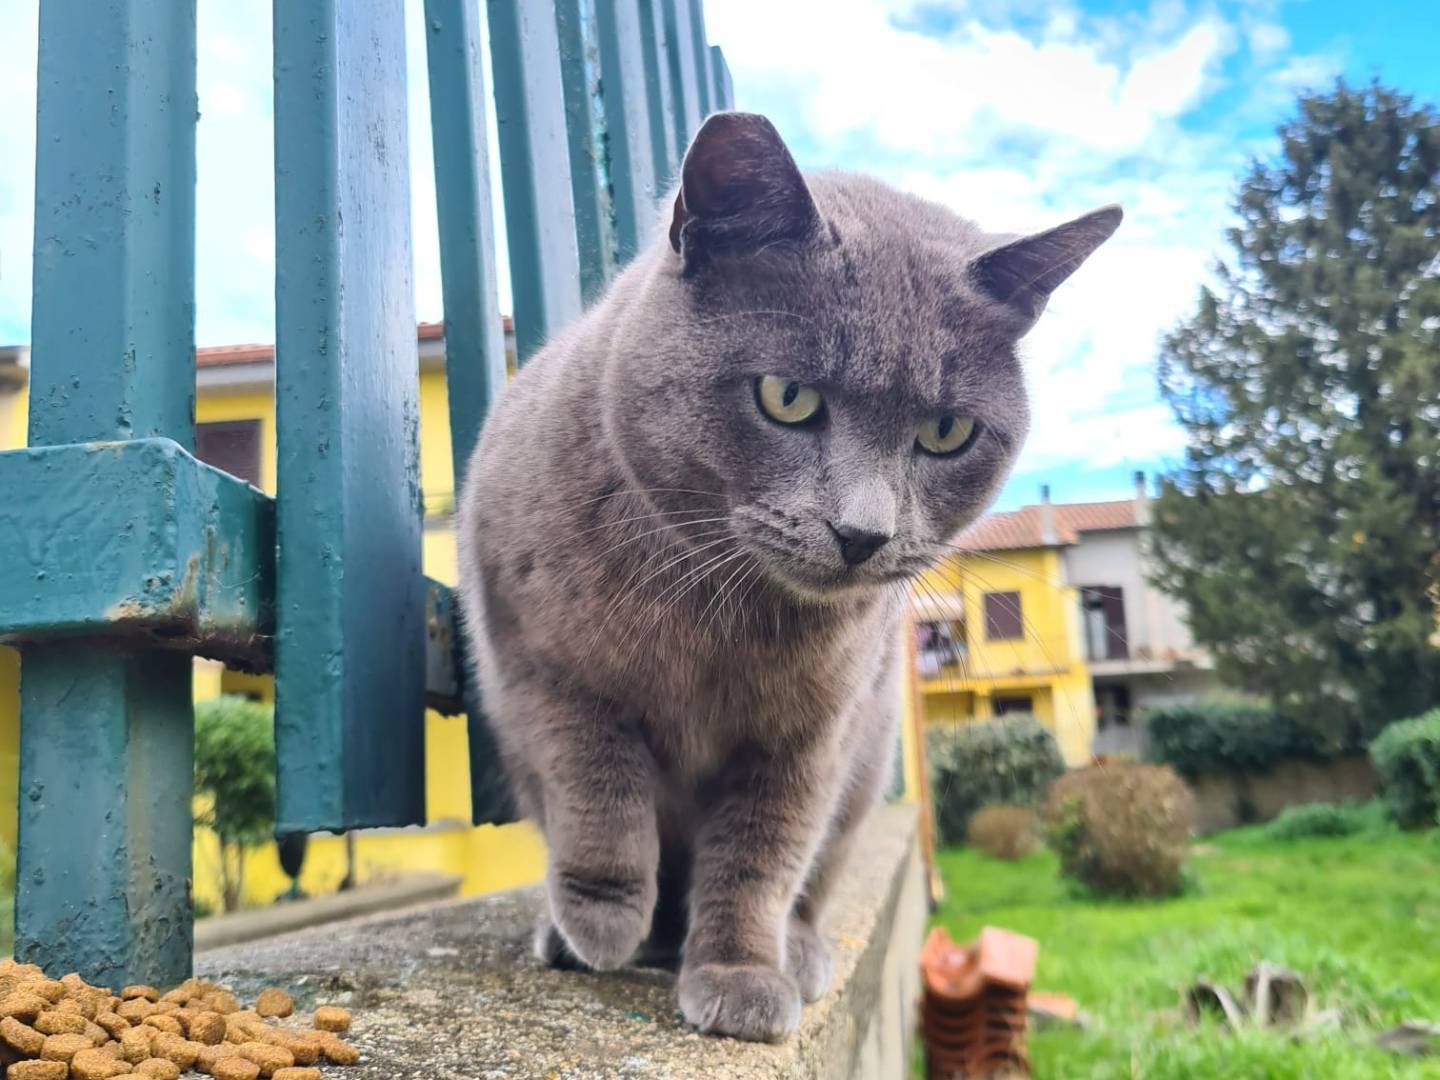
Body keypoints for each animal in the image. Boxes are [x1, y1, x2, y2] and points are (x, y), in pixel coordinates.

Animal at [455, 108, 1117, 1042]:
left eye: (947, 432)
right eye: (787, 398)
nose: (863, 533)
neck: (705, 613)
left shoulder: (812, 731)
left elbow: (762, 854)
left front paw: (741, 973)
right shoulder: (540, 666)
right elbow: (596, 783)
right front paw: (602, 916)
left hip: (868, 758)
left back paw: (796, 952)